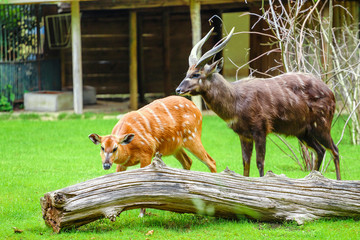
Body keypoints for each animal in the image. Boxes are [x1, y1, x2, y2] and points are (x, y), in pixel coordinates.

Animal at [176, 27, 340, 179]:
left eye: (196, 74)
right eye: (187, 72)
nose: (178, 89)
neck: (236, 100)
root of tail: (331, 93)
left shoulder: (260, 129)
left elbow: (260, 162)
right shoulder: (244, 134)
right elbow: (245, 163)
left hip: (322, 126)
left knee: (335, 150)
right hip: (304, 132)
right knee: (321, 150)